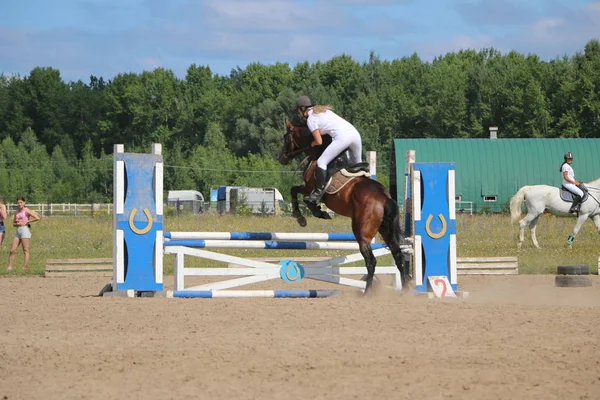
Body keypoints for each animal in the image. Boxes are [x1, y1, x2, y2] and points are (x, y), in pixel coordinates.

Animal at [278, 119, 410, 294]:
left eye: (286, 138)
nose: (281, 158)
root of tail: (384, 198)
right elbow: (297, 193)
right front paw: (315, 213)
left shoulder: (309, 187)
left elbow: (299, 194)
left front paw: (306, 217)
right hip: (385, 229)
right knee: (398, 255)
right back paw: (405, 290)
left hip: (362, 233)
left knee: (371, 261)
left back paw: (367, 293)